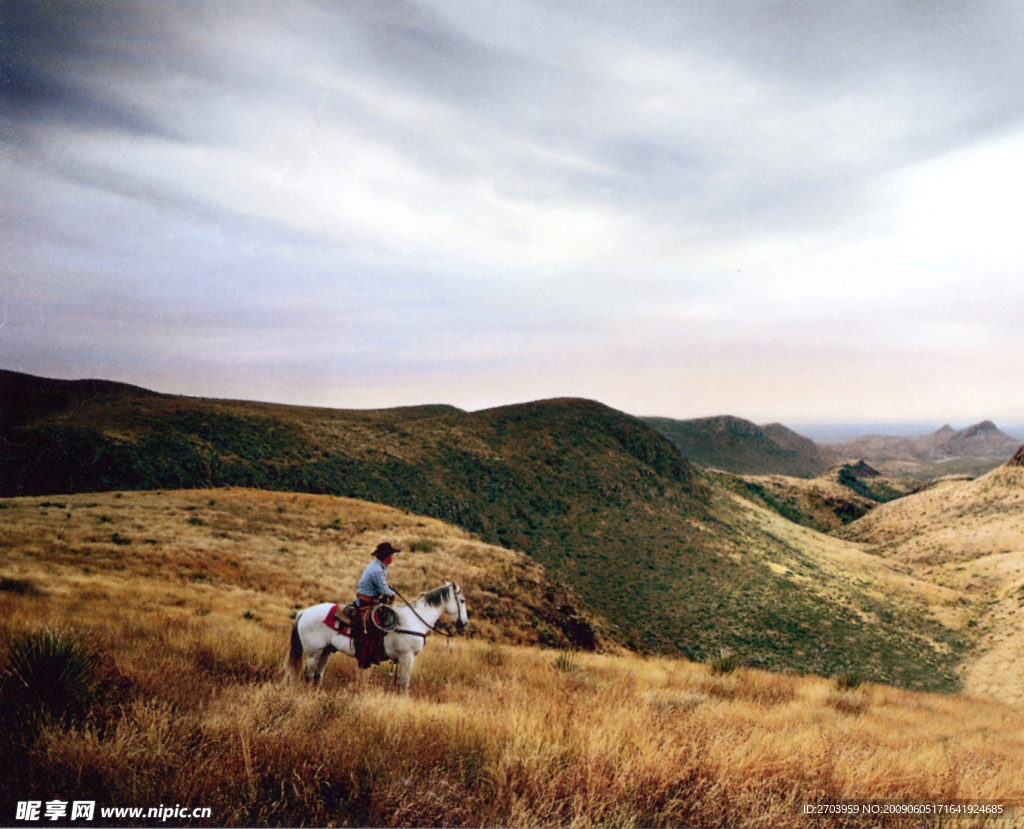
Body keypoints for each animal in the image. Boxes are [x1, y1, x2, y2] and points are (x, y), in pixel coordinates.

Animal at [284, 581, 468, 691]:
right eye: (463, 600)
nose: (464, 623)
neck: (414, 619)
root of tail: (303, 612)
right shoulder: (407, 657)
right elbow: (404, 684)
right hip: (313, 652)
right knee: (308, 675)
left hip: (326, 651)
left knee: (318, 675)